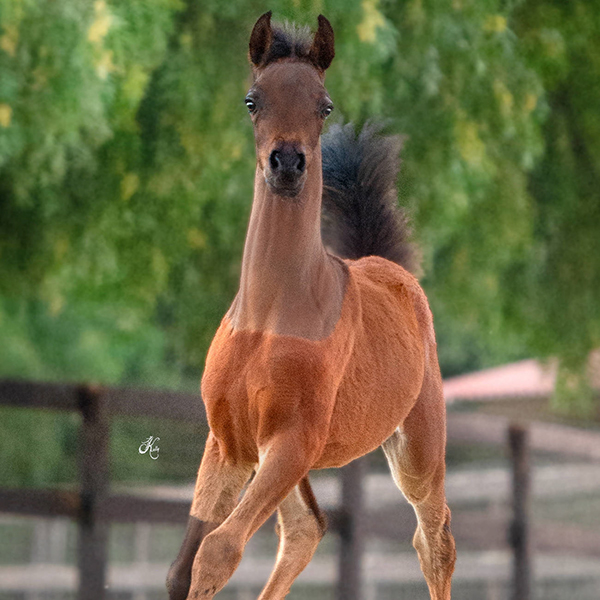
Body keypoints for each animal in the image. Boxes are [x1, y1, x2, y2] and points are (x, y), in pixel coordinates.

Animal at [166, 14, 458, 600]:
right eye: (252, 100)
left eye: (324, 106)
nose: (287, 164)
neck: (268, 318)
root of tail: (390, 269)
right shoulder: (230, 444)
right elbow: (183, 565)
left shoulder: (294, 443)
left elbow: (217, 551)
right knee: (307, 528)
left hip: (417, 450)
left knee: (434, 539)